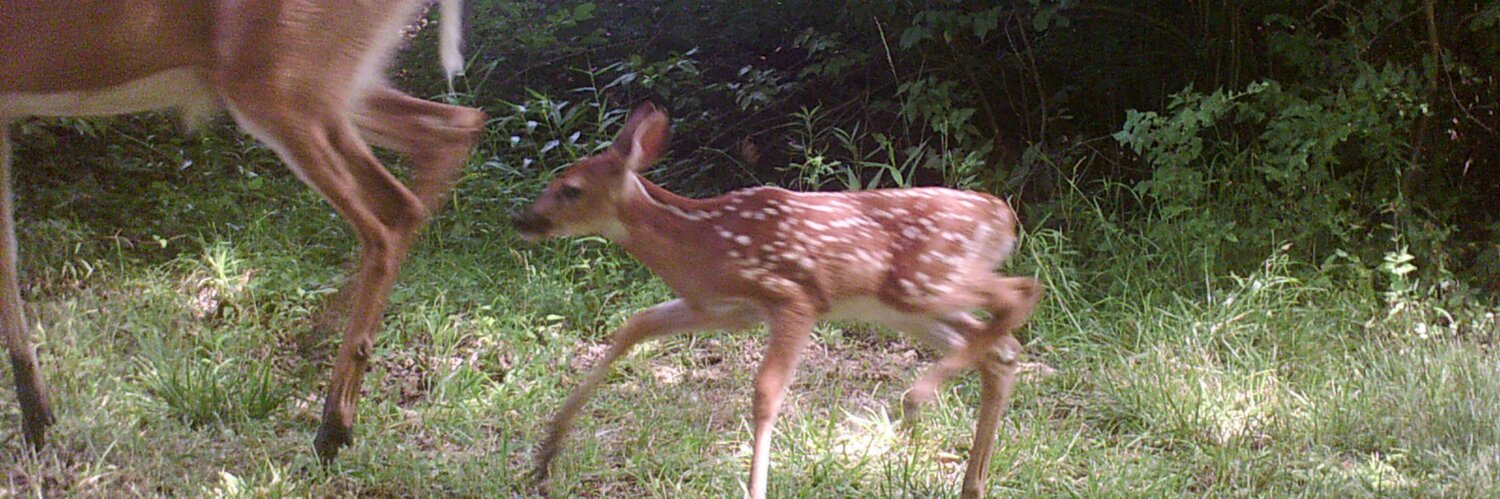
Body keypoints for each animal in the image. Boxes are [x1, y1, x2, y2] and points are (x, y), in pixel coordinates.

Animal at [0, 0, 486, 461]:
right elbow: (8, 257)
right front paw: (37, 421)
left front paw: (35, 424)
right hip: (328, 81)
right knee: (452, 129)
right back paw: (319, 345)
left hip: (281, 82)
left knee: (390, 212)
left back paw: (331, 426)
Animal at [516, 102, 1044, 494]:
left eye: (570, 189)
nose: (521, 220)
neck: (701, 244)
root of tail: (1003, 216)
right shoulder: (717, 309)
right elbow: (635, 324)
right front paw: (546, 455)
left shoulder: (792, 296)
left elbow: (766, 391)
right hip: (910, 305)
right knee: (999, 348)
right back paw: (971, 480)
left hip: (924, 278)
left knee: (1021, 294)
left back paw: (918, 396)